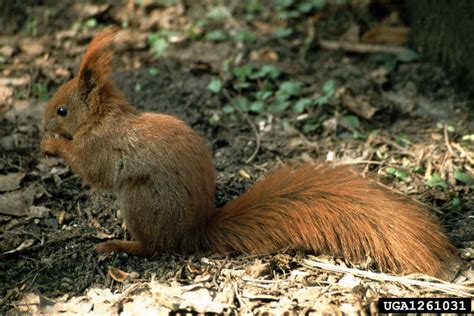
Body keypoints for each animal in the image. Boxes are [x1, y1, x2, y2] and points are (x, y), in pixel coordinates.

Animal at [41, 27, 460, 278]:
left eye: (62, 110)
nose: (43, 123)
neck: (104, 118)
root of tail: (195, 231)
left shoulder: (101, 147)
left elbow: (90, 169)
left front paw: (52, 145)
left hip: (141, 201)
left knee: (154, 248)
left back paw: (117, 244)